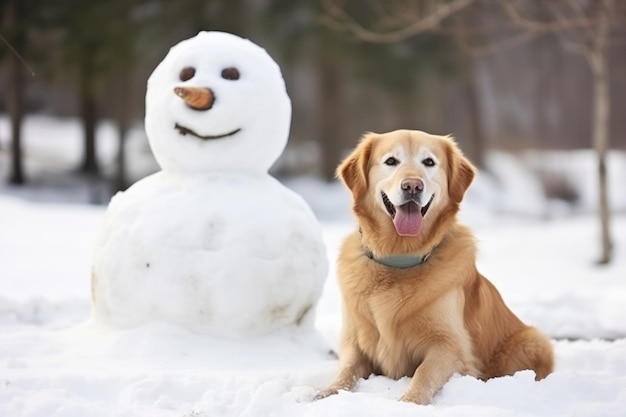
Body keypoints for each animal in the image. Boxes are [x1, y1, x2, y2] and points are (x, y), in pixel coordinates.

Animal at [316, 129, 552, 404]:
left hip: (533, 340)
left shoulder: (450, 344)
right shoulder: (354, 341)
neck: (400, 259)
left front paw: (409, 402)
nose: (412, 186)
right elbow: (346, 369)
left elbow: (424, 372)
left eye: (428, 162)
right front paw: (325, 391)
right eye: (391, 161)